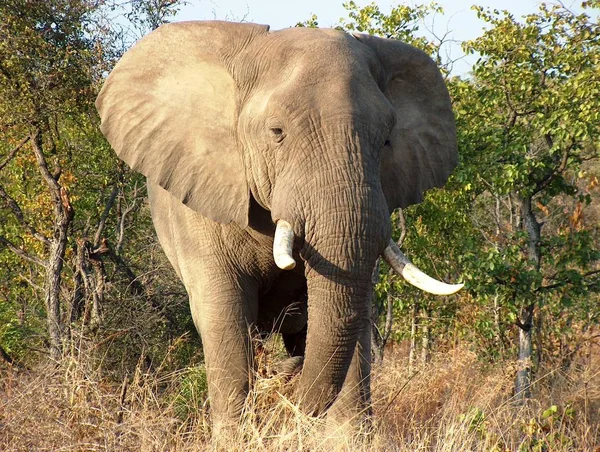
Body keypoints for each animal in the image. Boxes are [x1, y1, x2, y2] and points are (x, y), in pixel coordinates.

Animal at [96, 20, 462, 434]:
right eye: (277, 132)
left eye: (386, 139)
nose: (291, 390)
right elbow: (225, 317)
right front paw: (235, 437)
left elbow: (354, 310)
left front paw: (349, 437)